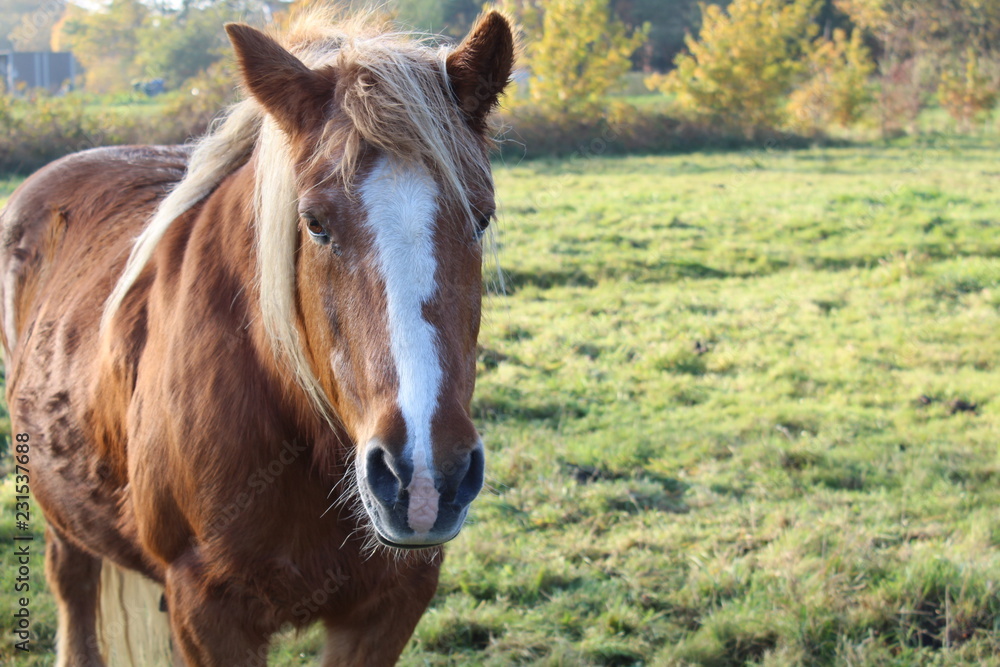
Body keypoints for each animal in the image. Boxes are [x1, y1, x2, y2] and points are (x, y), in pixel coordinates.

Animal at [0, 9, 514, 665]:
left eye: (481, 218)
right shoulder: (207, 610)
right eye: (314, 224)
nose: (425, 479)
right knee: (73, 588)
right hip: (61, 515)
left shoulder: (391, 605)